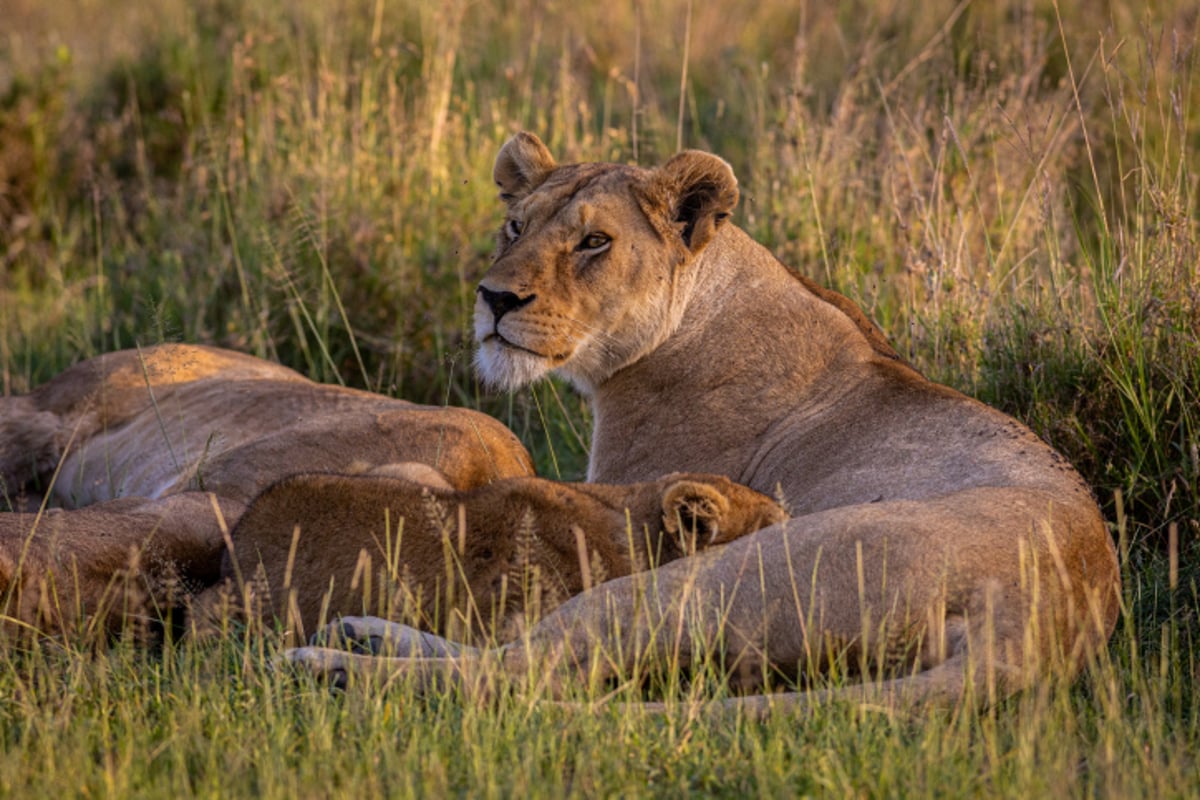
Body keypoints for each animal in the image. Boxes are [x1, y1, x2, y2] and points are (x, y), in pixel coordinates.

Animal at [285, 134, 1118, 714]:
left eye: (594, 241)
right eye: (514, 227)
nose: (495, 299)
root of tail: (1036, 624)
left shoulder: (630, 501)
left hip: (706, 578)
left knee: (524, 671)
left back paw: (330, 668)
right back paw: (357, 634)